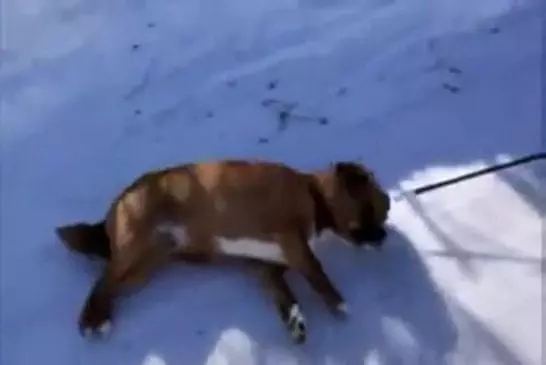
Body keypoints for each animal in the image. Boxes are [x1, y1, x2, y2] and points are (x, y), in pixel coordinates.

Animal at [56, 158, 392, 342]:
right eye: (375, 209)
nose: (385, 235)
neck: (313, 193)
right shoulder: (292, 241)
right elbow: (316, 271)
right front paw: (337, 303)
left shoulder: (265, 267)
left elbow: (282, 292)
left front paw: (293, 318)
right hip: (135, 243)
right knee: (102, 280)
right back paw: (91, 321)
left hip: (144, 268)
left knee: (111, 284)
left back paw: (100, 316)